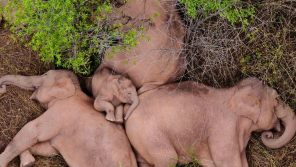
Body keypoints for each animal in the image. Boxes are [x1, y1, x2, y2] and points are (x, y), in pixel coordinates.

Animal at [0, 70, 138, 167]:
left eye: (45, 74)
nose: (2, 88)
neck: (74, 89)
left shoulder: (60, 112)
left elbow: (33, 130)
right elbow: (50, 149)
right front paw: (28, 163)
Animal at [122, 78, 296, 167]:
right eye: (276, 100)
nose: (269, 134)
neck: (234, 91)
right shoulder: (224, 130)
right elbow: (228, 162)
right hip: (150, 136)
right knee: (168, 159)